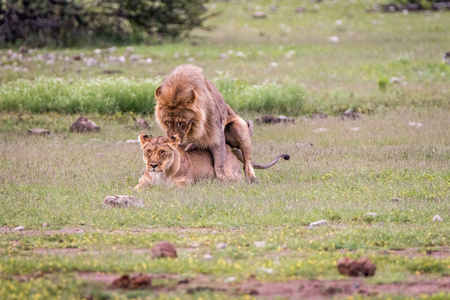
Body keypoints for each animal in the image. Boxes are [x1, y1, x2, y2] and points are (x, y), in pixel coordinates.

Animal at [134, 134, 288, 189]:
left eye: (162, 151)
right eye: (148, 151)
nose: (153, 165)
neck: (160, 174)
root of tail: (229, 146)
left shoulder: (188, 180)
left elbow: (171, 186)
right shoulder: (142, 181)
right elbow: (137, 187)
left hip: (230, 173)